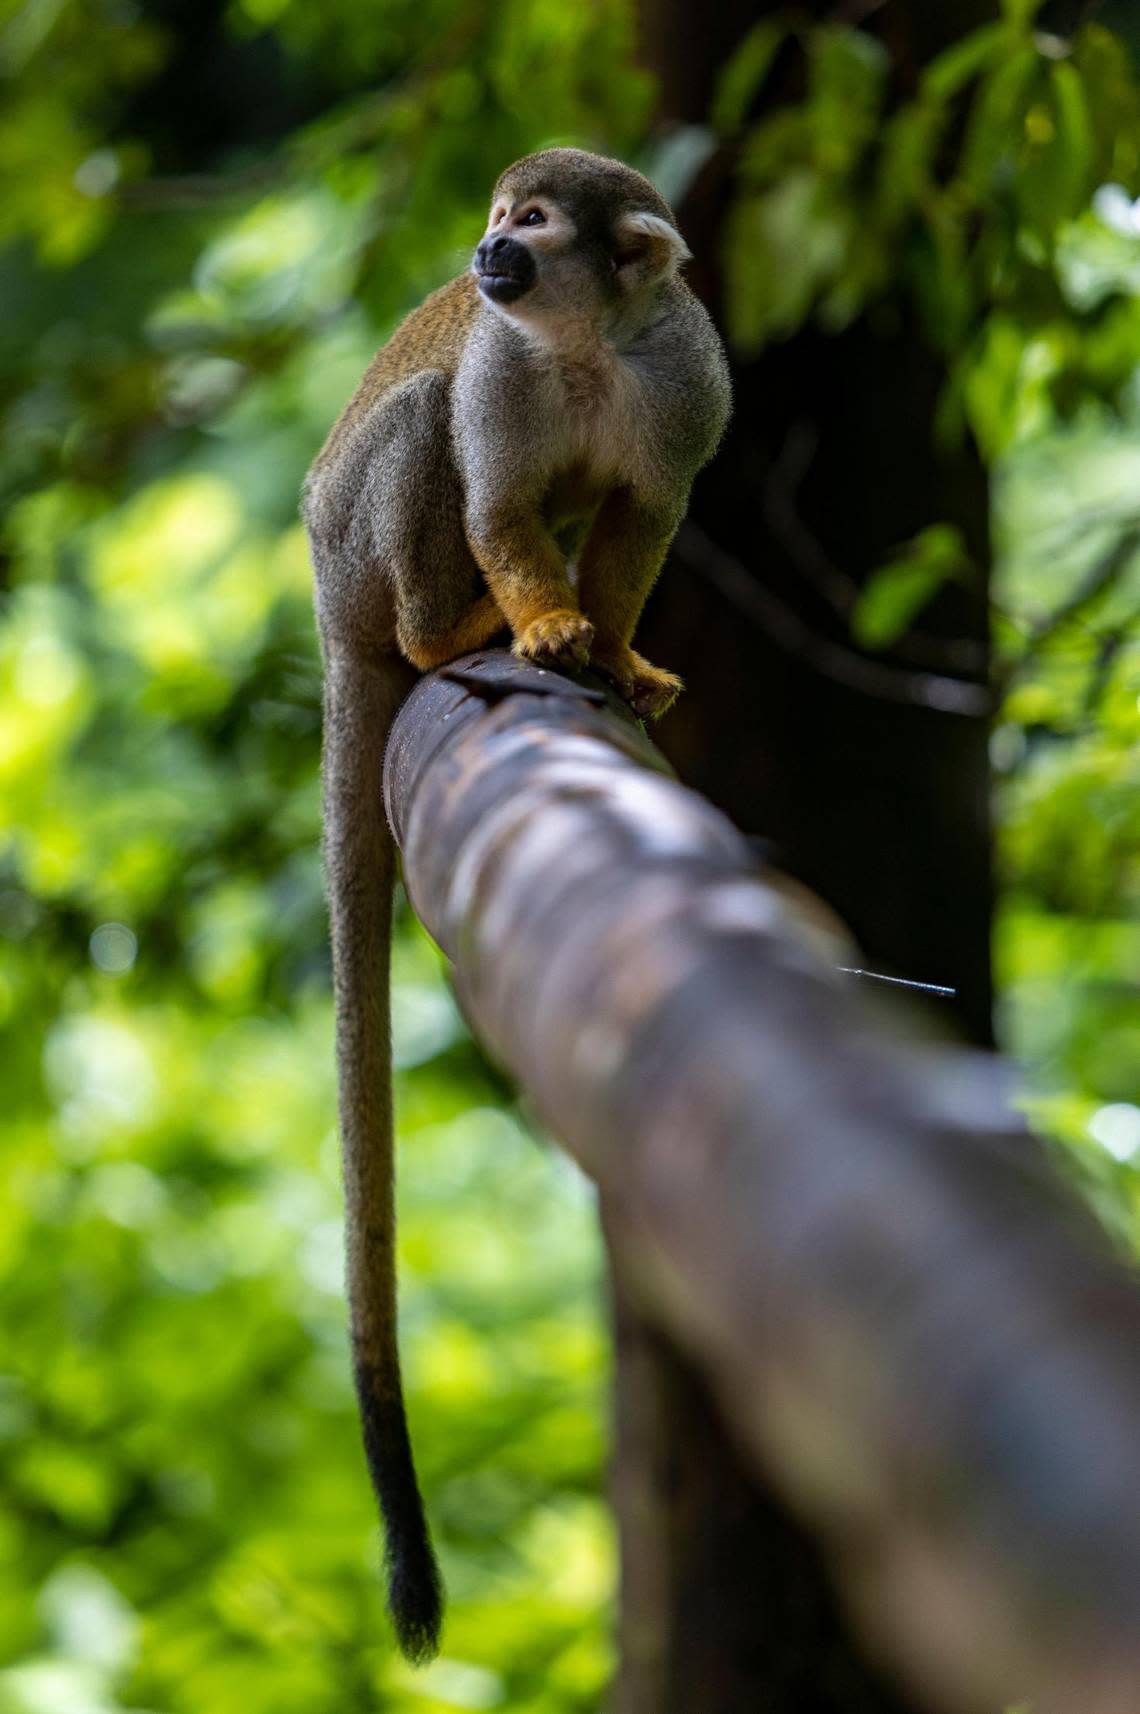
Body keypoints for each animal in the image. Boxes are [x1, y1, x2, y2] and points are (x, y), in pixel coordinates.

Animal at [301, 147, 730, 1659]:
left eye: (532, 228)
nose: (483, 257)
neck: (585, 340)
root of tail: (327, 612)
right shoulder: (502, 368)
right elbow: (491, 502)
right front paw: (548, 627)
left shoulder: (686, 371)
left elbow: (641, 516)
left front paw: (615, 646)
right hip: (354, 544)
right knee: (425, 424)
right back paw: (452, 633)